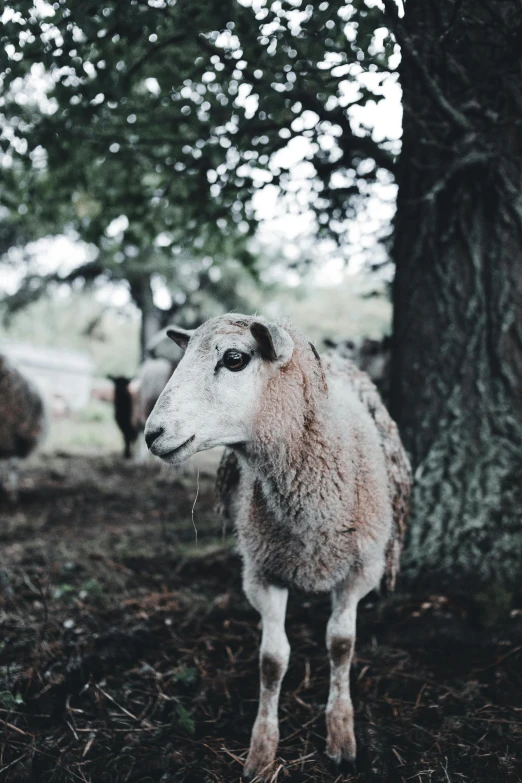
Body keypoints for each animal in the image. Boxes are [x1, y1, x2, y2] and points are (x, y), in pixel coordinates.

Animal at [143, 316, 410, 780]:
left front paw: (341, 734)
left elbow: (341, 644)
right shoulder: (262, 572)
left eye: (234, 358)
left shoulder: (360, 570)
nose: (151, 434)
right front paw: (261, 750)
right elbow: (272, 659)